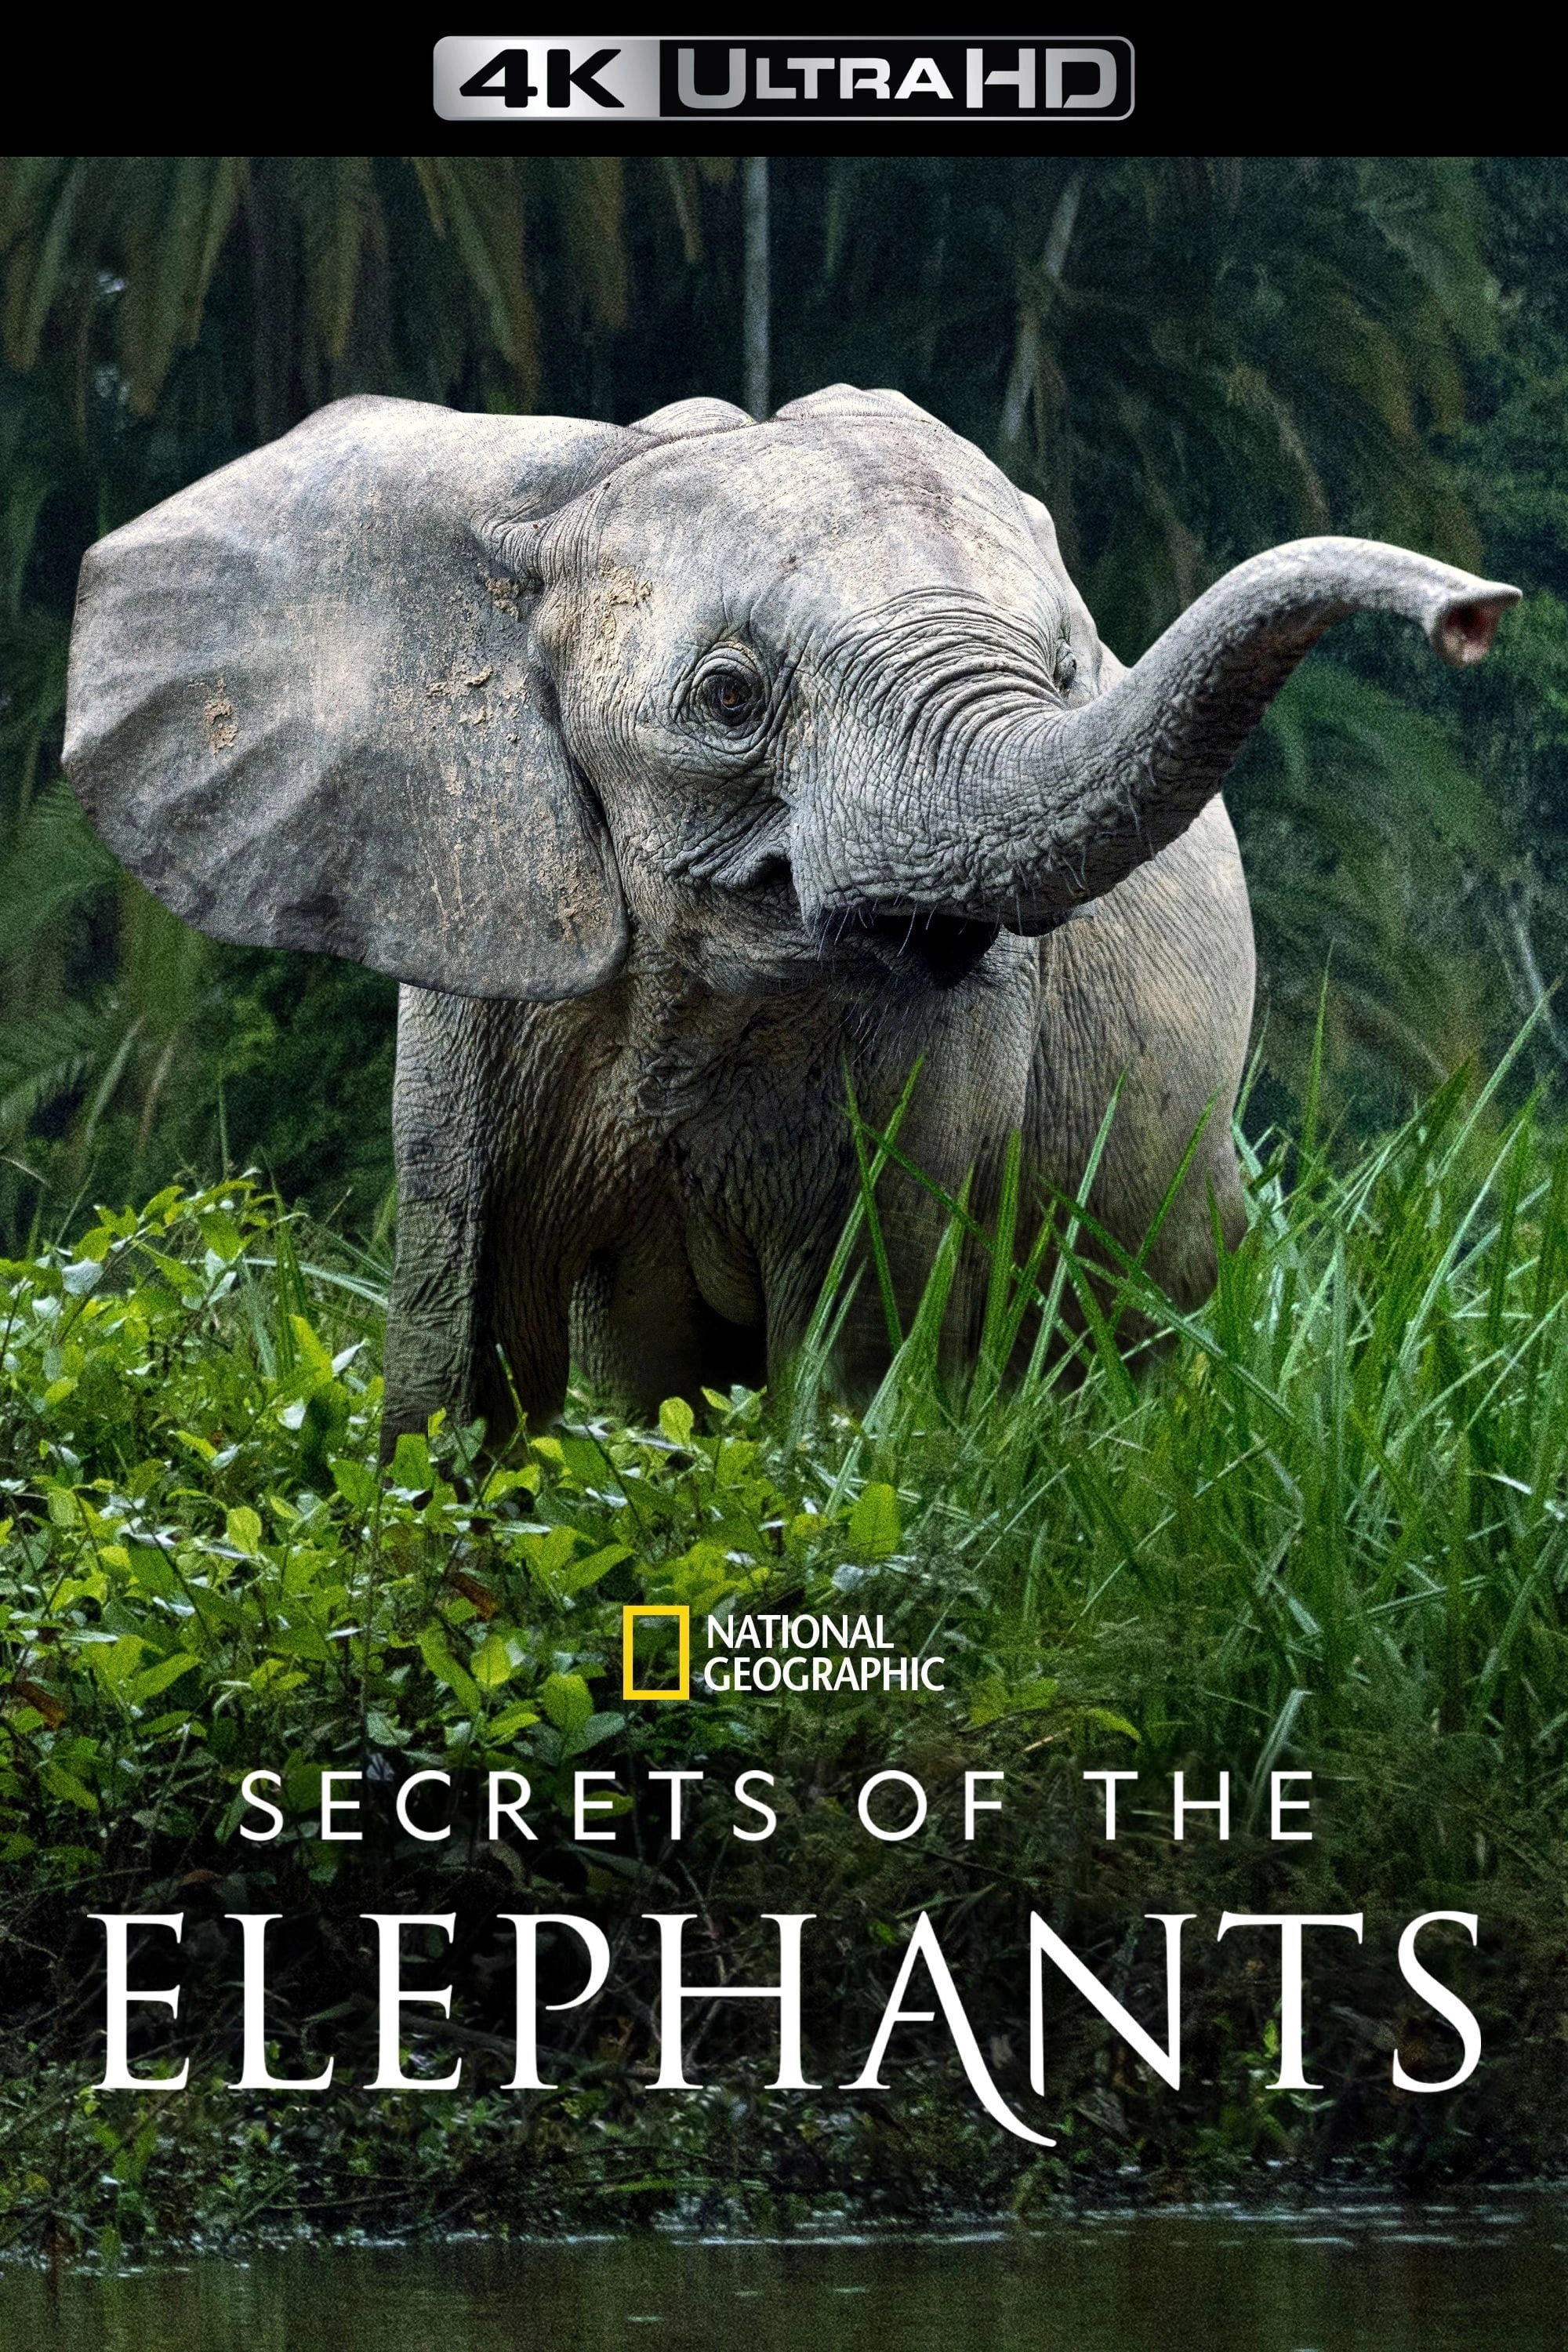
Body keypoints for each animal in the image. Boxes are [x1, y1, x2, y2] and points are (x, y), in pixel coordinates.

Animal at [62, 385, 1517, 1447]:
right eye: (728, 697)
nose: (1475, 615)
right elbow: (467, 1347)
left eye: (1067, 674)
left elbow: (855, 1344)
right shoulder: (478, 944)